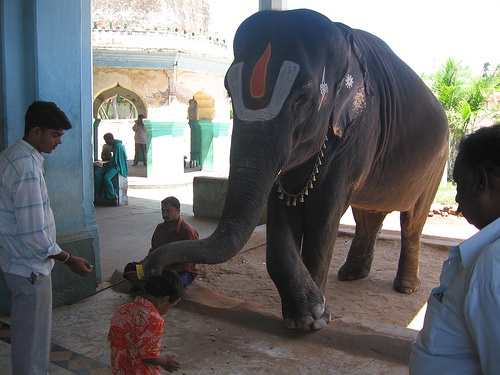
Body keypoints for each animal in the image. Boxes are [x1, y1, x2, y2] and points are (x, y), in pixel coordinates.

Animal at [143, 9, 448, 332]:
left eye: (303, 99)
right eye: (228, 94)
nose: (152, 269)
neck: (343, 40)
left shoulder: (360, 132)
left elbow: (324, 212)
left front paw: (317, 318)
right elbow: (280, 207)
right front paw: (303, 315)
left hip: (437, 161)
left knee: (413, 220)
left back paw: (406, 286)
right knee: (368, 215)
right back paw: (351, 274)